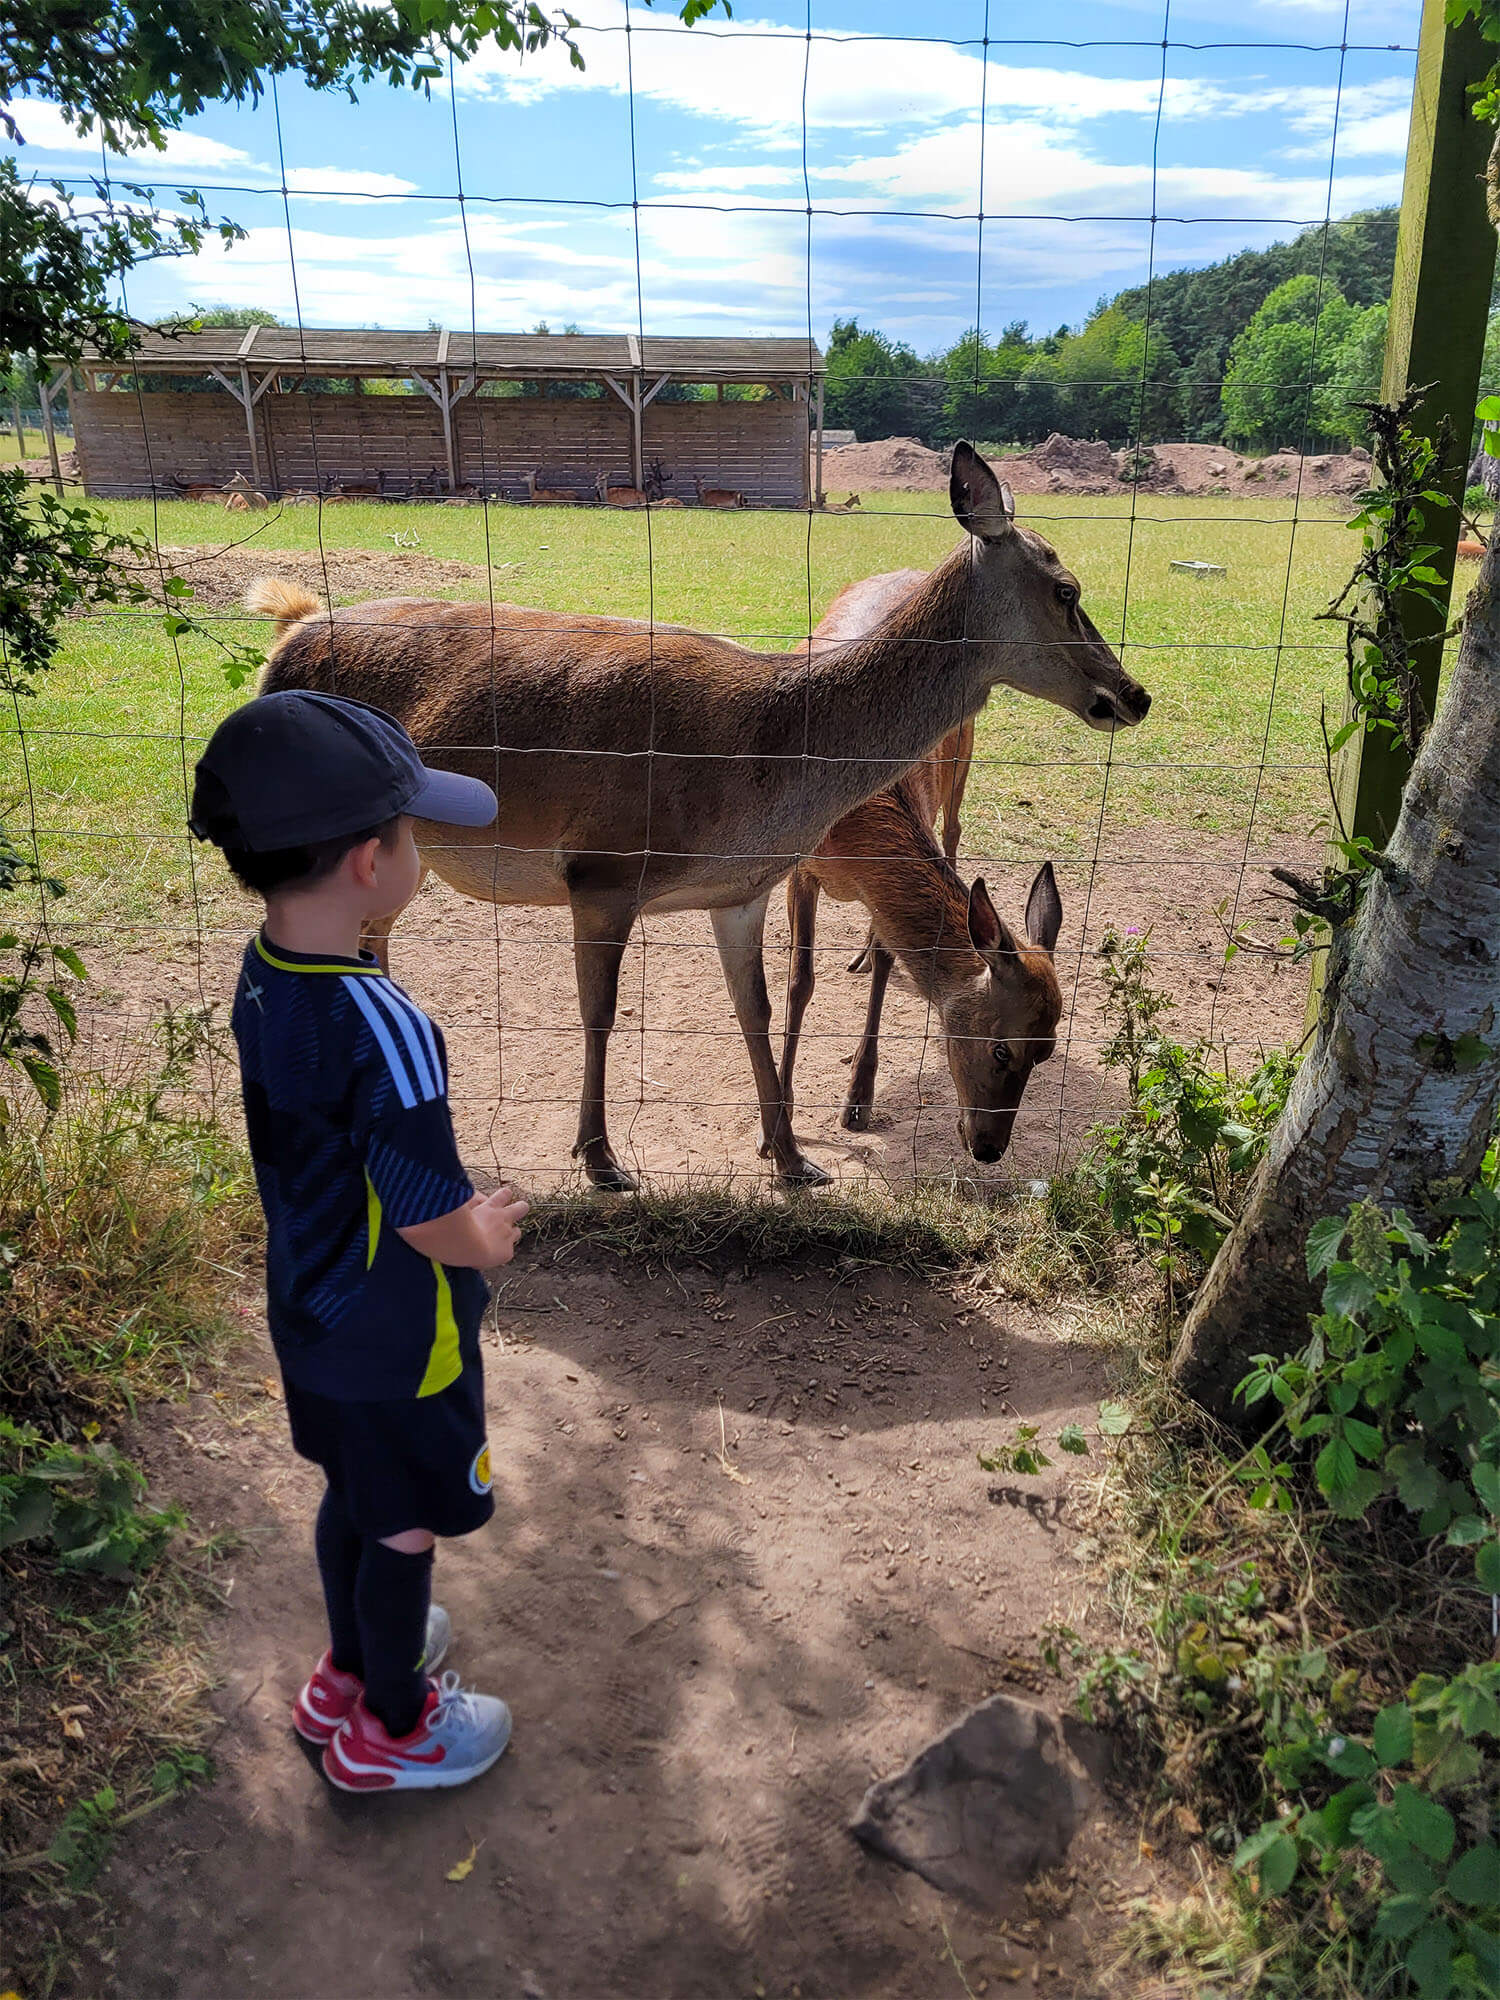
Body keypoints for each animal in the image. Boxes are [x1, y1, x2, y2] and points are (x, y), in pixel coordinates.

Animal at [777, 569, 1059, 1162]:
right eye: (1002, 1050)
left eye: (1044, 1053)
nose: (989, 1147)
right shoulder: (799, 866)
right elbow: (799, 981)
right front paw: (780, 1121)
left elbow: (890, 964)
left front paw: (857, 1100)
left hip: (963, 751)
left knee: (954, 831)